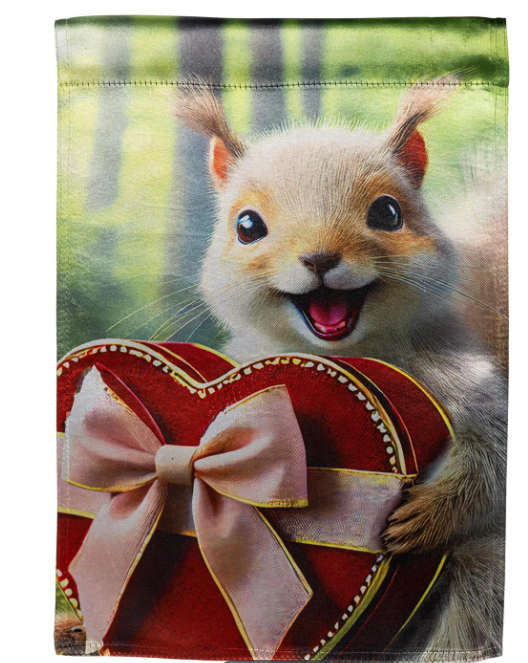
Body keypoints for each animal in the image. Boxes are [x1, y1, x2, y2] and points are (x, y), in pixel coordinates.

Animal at [174, 80, 507, 658]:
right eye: (246, 226)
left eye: (389, 213)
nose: (320, 257)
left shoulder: (464, 377)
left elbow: (496, 453)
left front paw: (426, 517)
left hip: (484, 578)